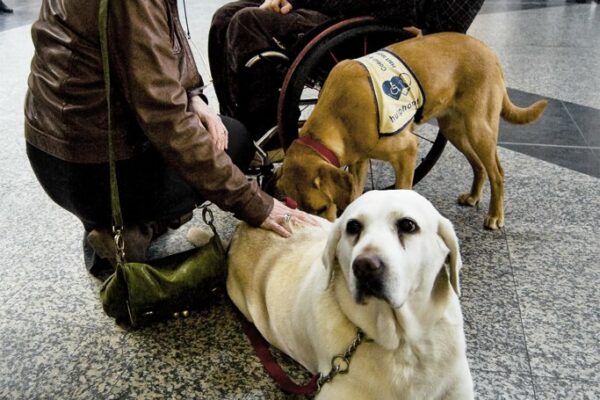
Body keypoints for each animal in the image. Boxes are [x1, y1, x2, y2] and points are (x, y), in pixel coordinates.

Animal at [278, 32, 548, 230]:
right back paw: (473, 196)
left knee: (498, 173)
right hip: (454, 130)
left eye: (321, 209)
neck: (338, 115)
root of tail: (490, 51)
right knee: (479, 165)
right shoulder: (359, 162)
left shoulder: (407, 150)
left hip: (479, 128)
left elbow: (403, 192)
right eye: (298, 208)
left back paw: (495, 215)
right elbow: (355, 194)